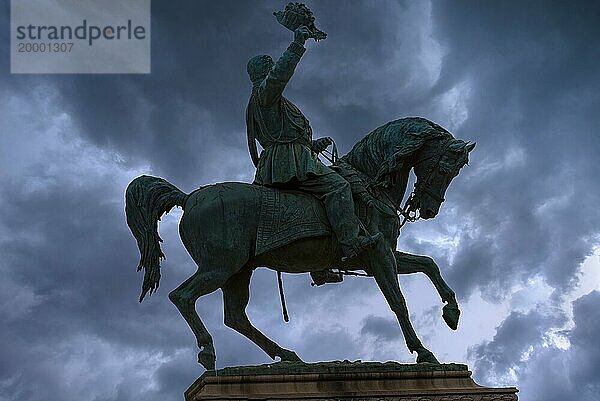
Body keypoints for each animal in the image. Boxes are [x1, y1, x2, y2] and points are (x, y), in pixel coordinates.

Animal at [125, 115, 474, 368]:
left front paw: (452, 311)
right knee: (183, 297)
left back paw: (287, 356)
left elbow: (429, 264)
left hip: (239, 272)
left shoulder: (381, 255)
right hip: (220, 267)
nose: (428, 210)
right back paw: (209, 352)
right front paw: (424, 352)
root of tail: (188, 198)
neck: (368, 185)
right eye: (446, 167)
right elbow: (398, 301)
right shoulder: (377, 254)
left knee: (235, 316)